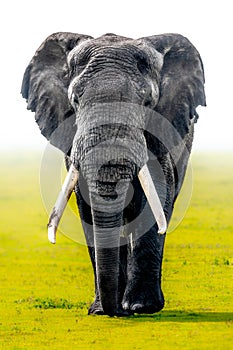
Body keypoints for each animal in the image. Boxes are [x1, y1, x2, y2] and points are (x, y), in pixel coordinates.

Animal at [20, 32, 205, 318]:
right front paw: (99, 310)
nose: (117, 312)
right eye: (75, 101)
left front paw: (142, 307)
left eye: (147, 103)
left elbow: (156, 194)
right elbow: (87, 205)